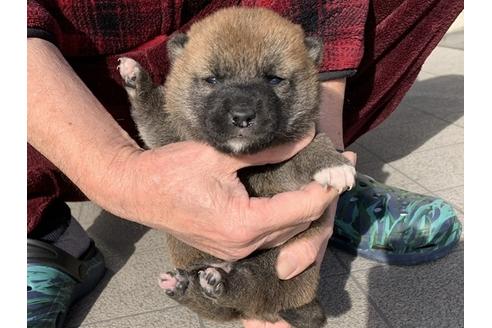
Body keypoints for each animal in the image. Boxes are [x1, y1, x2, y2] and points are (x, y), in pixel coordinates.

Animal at [117, 6, 356, 326]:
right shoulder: (170, 139)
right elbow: (152, 113)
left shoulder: (283, 163)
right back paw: (183, 285)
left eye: (273, 79)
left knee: (252, 289)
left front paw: (332, 163)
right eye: (212, 80)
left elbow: (309, 147)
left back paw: (219, 282)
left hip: (274, 266)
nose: (242, 116)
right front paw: (136, 78)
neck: (240, 159)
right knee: (220, 306)